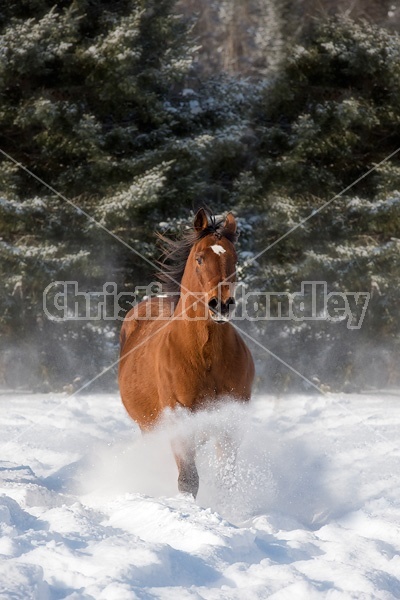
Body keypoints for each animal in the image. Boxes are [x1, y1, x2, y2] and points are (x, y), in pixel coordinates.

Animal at [119, 209, 255, 500]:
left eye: (235, 259)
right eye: (200, 258)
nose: (221, 305)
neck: (204, 354)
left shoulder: (229, 418)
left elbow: (227, 478)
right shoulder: (178, 417)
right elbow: (188, 480)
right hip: (149, 427)